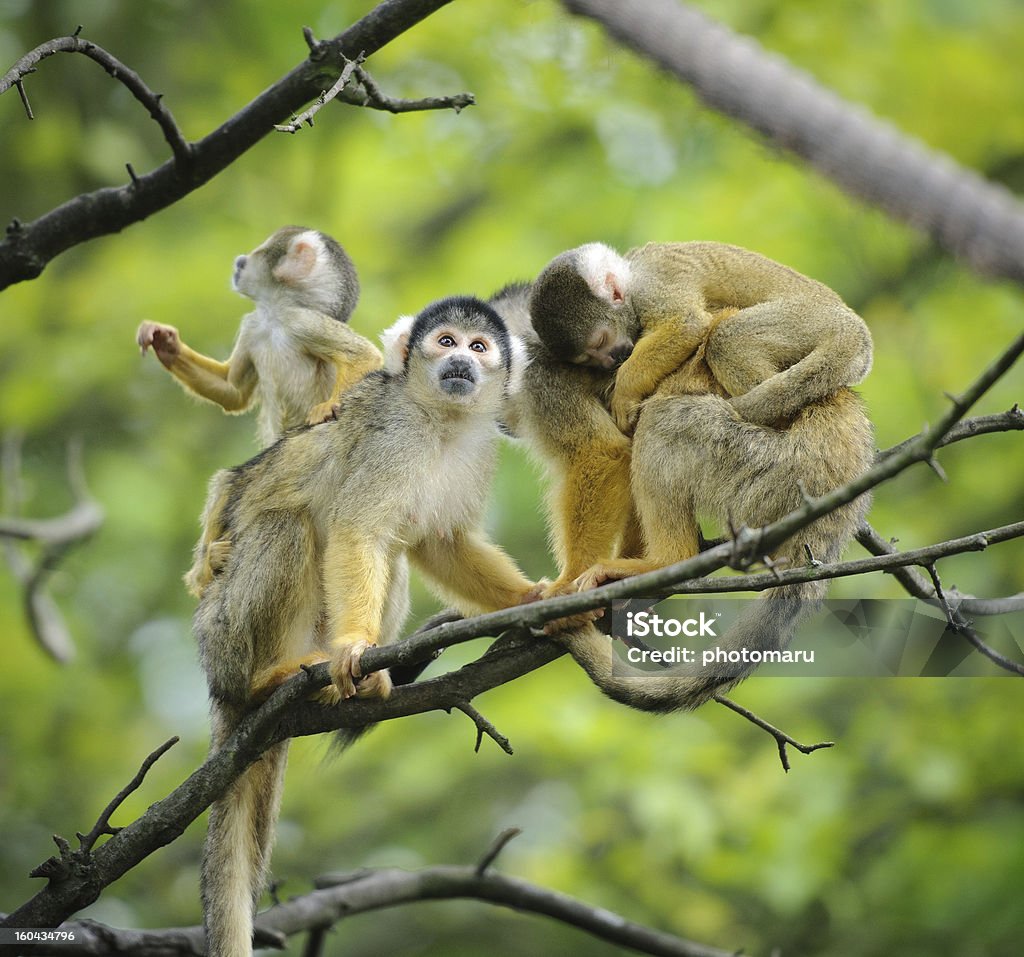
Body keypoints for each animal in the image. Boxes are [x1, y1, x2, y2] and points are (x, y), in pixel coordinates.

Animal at [194, 294, 540, 957]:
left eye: (478, 347)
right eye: (445, 341)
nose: (459, 362)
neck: (438, 421)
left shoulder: (477, 448)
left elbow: (441, 543)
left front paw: (541, 597)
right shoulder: (391, 438)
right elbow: (358, 530)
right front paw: (356, 645)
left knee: (395, 556)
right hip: (221, 633)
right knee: (290, 525)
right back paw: (269, 677)